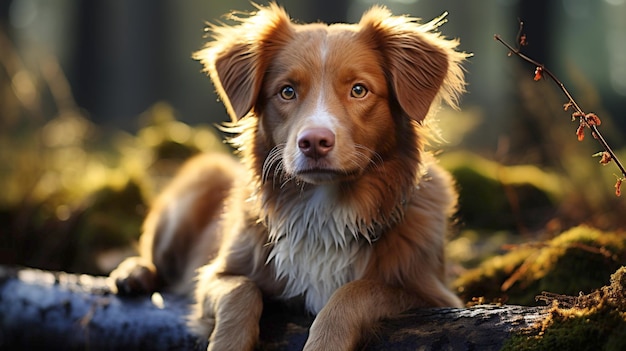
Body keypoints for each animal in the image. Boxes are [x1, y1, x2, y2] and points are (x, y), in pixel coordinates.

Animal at [109, 3, 466, 351]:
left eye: (359, 90)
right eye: (287, 91)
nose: (314, 142)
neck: (324, 209)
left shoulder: (431, 294)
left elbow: (354, 292)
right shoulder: (215, 275)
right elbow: (241, 291)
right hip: (199, 179)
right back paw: (134, 274)